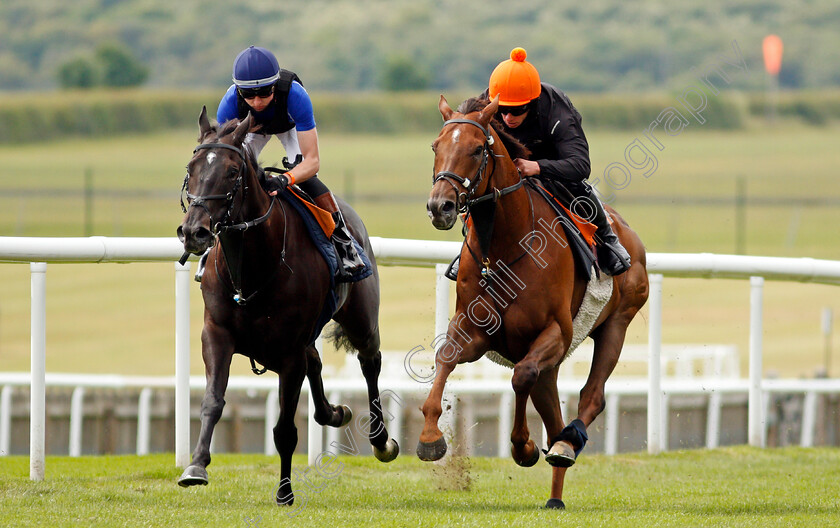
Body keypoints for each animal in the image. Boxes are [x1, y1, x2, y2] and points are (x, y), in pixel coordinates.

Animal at [176, 108, 398, 508]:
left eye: (232, 172)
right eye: (191, 167)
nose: (193, 232)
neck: (252, 268)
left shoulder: (289, 351)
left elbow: (284, 430)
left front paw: (284, 492)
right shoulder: (216, 334)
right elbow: (212, 401)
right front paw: (196, 466)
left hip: (361, 318)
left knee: (369, 362)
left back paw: (380, 440)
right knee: (318, 363)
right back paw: (336, 412)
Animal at [420, 97, 648, 510]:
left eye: (476, 149)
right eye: (435, 146)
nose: (439, 206)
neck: (506, 245)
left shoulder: (555, 332)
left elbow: (520, 375)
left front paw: (523, 446)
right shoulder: (475, 330)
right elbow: (445, 357)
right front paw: (430, 437)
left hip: (616, 323)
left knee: (591, 397)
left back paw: (566, 446)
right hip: (554, 364)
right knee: (554, 415)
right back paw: (557, 485)